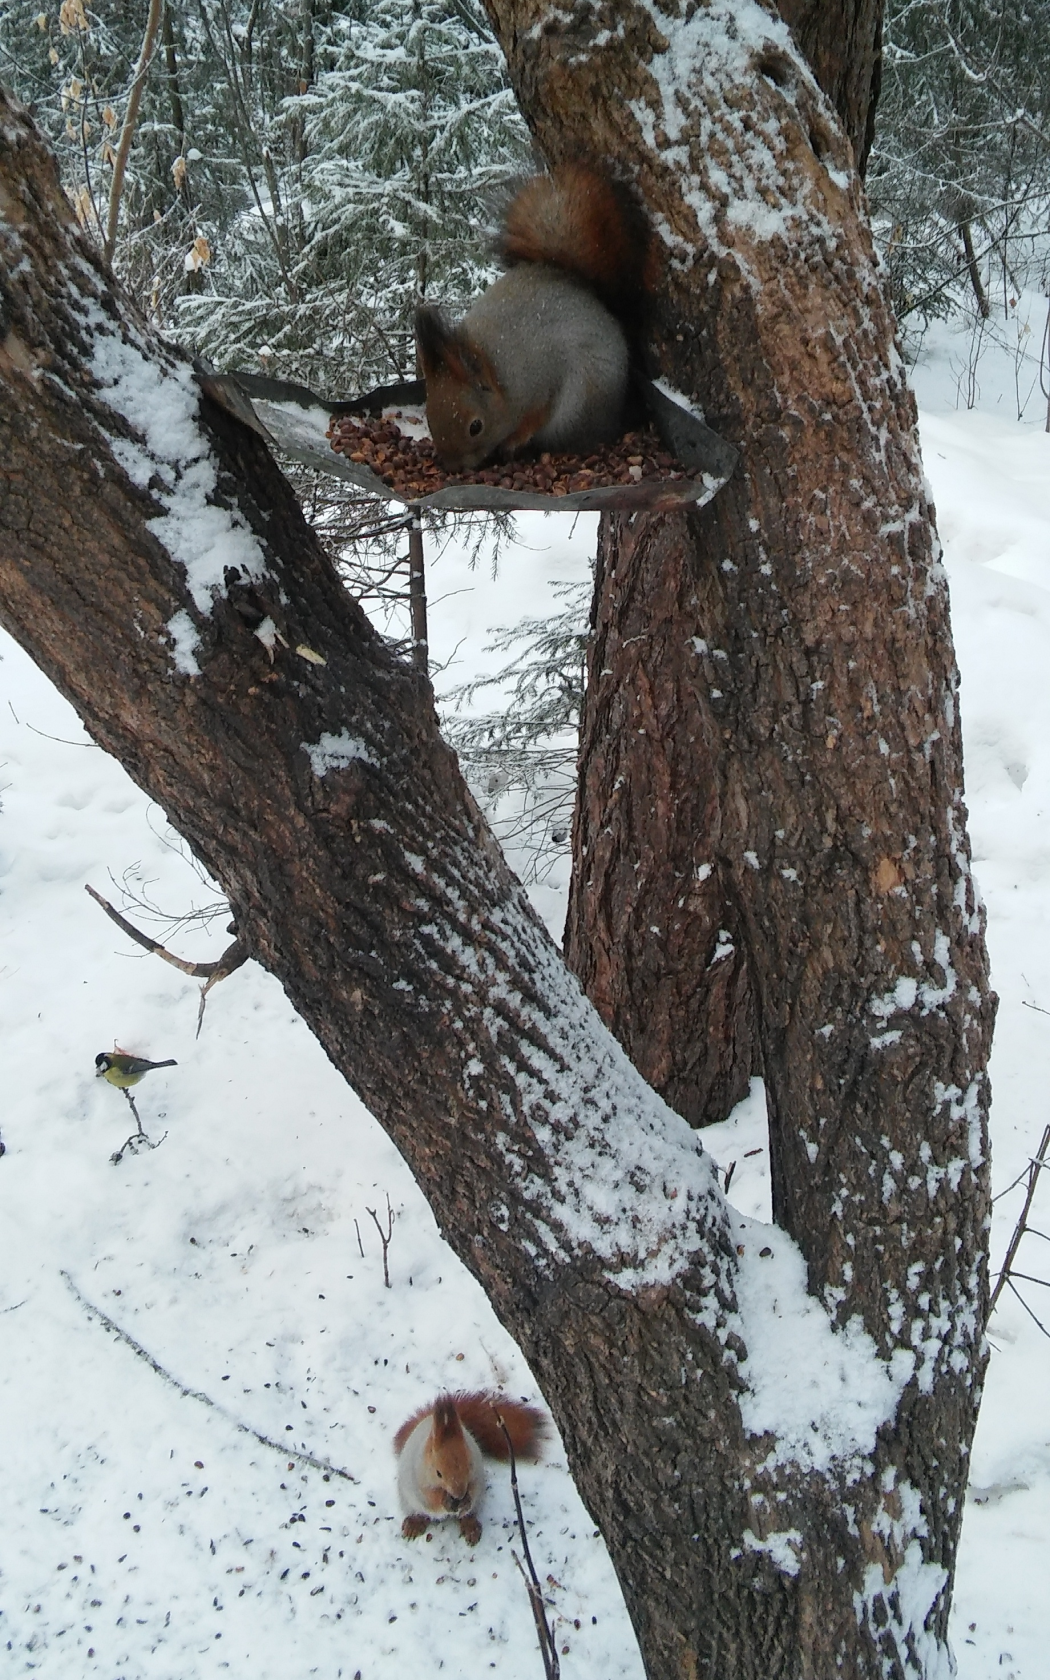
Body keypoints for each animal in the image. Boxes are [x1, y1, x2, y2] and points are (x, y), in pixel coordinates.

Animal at [414, 163, 648, 473]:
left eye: (475, 427)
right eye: (428, 417)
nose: (454, 467)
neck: (498, 372)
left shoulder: (544, 379)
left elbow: (537, 415)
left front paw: (514, 439)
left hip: (584, 402)